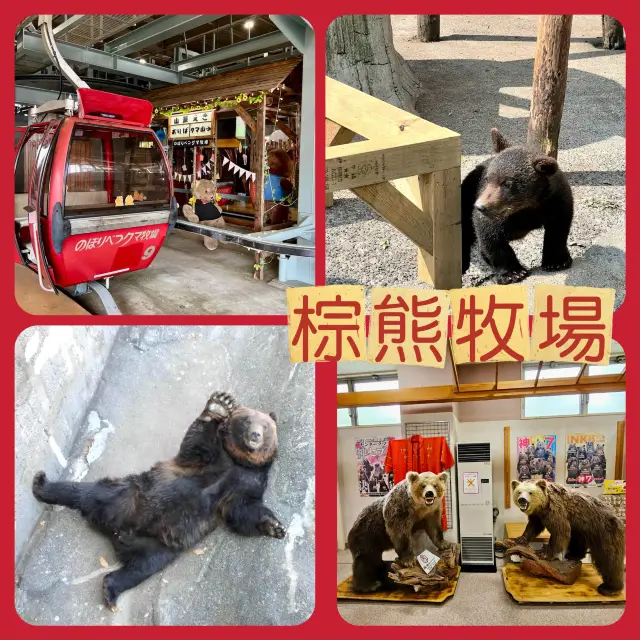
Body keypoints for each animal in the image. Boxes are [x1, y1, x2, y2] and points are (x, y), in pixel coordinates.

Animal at [32, 391, 285, 610]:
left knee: (141, 568)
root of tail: (118, 531)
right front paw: (219, 404)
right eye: (246, 421)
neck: (238, 461)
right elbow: (197, 442)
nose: (255, 435)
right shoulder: (207, 461)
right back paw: (42, 484)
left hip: (159, 545)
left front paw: (275, 527)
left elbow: (243, 511)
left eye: (265, 426)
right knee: (87, 493)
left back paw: (110, 590)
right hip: (128, 495)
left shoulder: (247, 482)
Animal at [461, 128, 574, 284]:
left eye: (507, 183)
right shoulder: (495, 216)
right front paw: (513, 273)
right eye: (487, 179)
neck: (526, 207)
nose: (480, 206)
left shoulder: (556, 201)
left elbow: (558, 228)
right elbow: (490, 235)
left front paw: (556, 261)